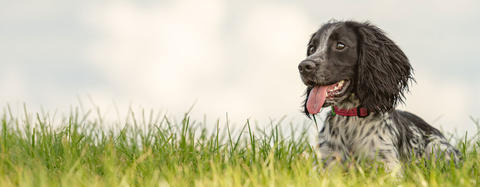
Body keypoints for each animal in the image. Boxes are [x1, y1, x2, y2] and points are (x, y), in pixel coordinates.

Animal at [298, 20, 460, 169]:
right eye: (312, 48)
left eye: (340, 45)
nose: (304, 66)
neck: (350, 118)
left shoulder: (388, 165)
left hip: (438, 148)